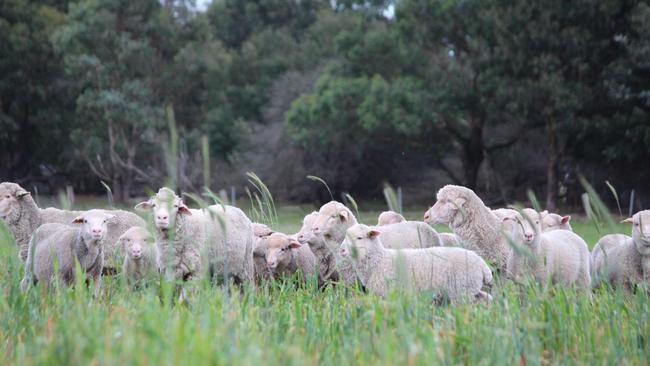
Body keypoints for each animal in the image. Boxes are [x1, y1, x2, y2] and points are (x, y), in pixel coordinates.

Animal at [340, 223, 492, 304]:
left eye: (359, 238)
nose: (341, 250)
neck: (379, 260)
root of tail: (482, 264)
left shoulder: (388, 294)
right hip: (469, 289)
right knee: (485, 298)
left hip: (462, 291)